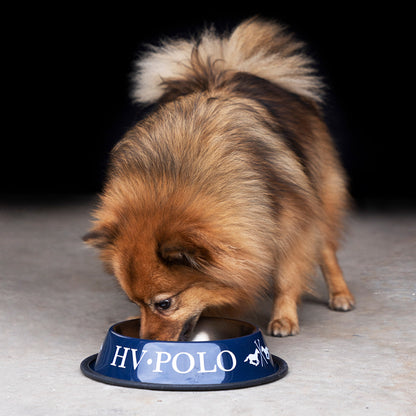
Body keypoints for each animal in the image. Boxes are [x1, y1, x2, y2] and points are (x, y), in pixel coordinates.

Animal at [83, 17, 354, 342]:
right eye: (135, 302)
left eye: (164, 303)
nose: (145, 344)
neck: (172, 180)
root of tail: (227, 66)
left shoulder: (293, 225)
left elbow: (287, 278)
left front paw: (284, 317)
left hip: (320, 192)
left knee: (326, 249)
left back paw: (340, 294)